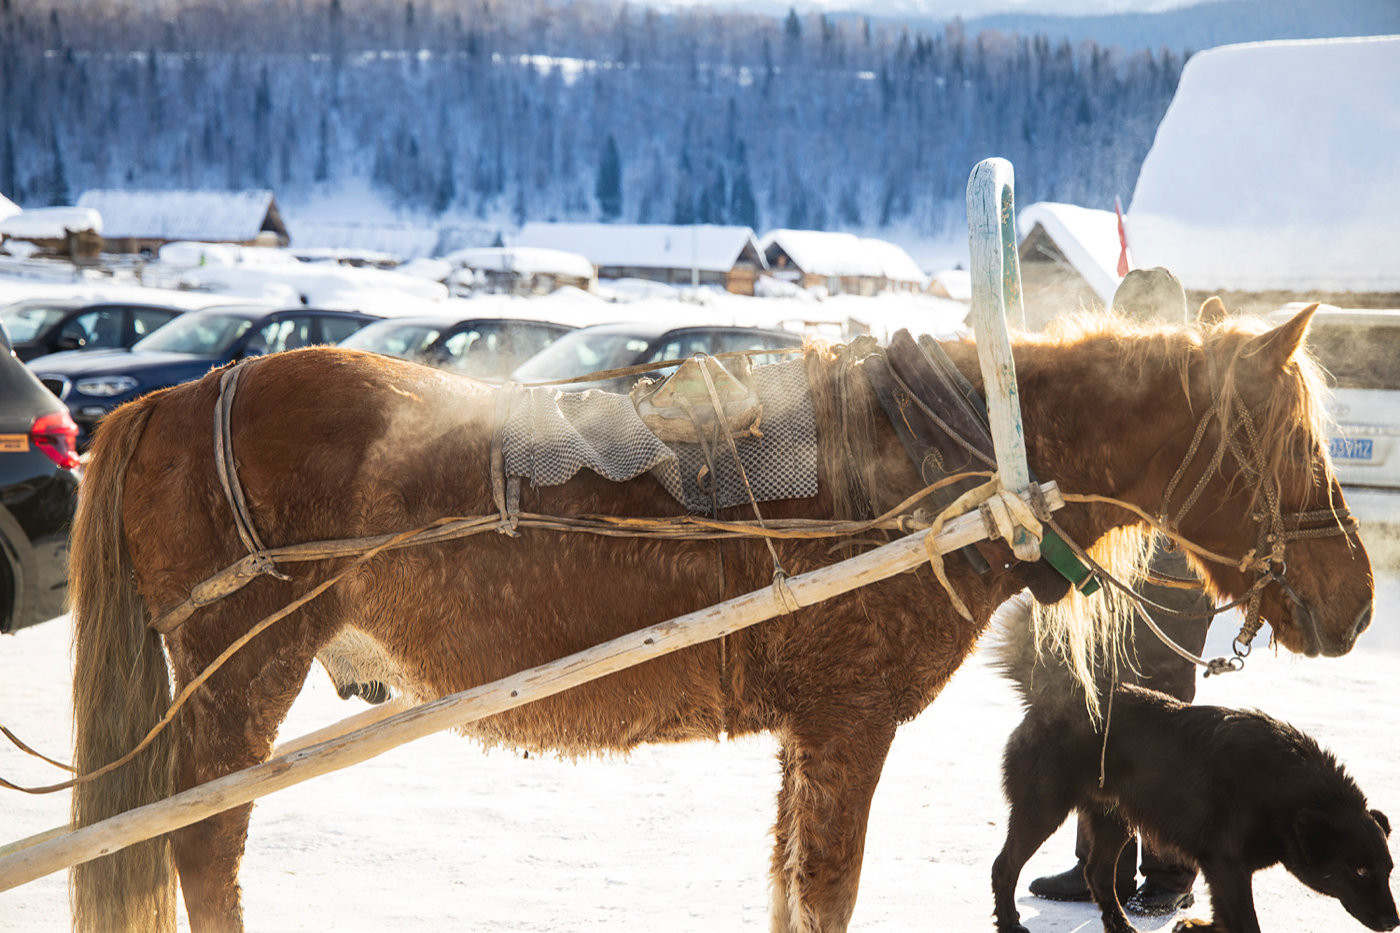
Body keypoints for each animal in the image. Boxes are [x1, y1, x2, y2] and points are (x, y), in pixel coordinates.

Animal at [991, 607, 1394, 924]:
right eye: (1359, 870)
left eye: (1389, 870)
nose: (1394, 921)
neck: (1283, 787)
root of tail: (1052, 697)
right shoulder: (1228, 867)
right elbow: (1244, 924)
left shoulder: (1224, 871)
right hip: (1043, 808)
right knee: (1005, 867)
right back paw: (1011, 923)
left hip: (1115, 817)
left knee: (1099, 874)